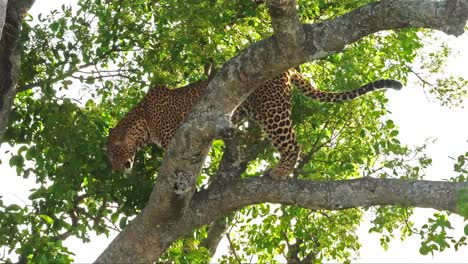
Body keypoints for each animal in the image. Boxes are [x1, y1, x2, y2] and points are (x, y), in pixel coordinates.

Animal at [107, 68, 402, 180]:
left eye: (112, 153)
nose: (116, 169)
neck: (141, 120)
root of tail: (288, 69)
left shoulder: (175, 138)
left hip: (273, 111)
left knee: (293, 144)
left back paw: (280, 172)